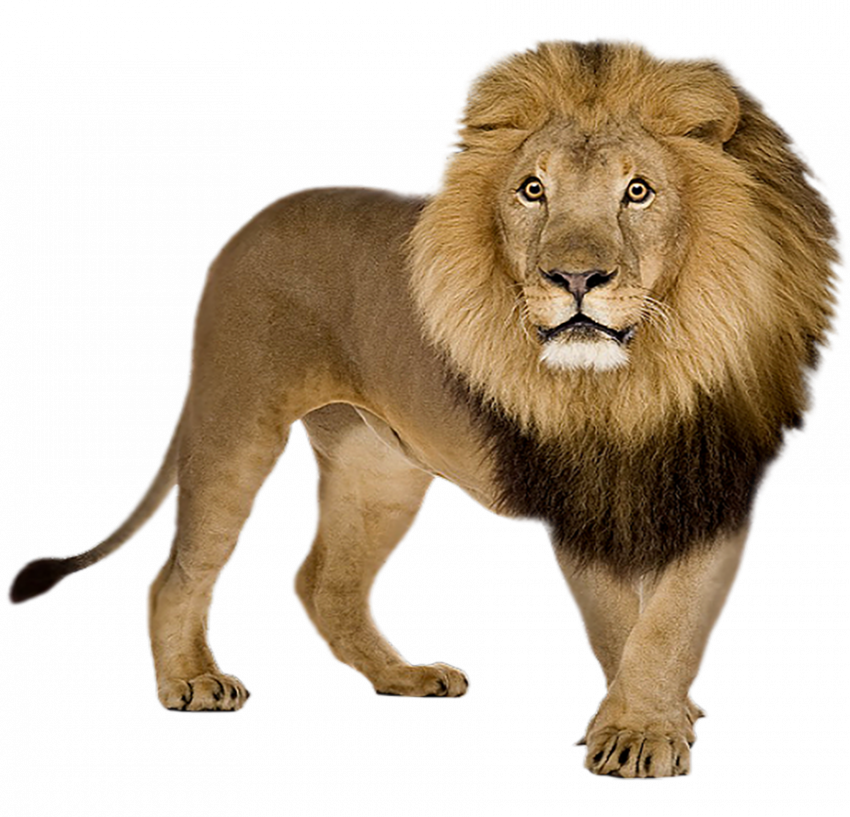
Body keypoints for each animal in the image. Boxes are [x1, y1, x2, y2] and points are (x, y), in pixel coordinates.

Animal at [6, 35, 845, 779]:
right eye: (532, 189)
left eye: (637, 190)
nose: (575, 278)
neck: (642, 377)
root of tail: (248, 226)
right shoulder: (570, 496)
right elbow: (620, 619)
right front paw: (637, 731)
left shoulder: (720, 486)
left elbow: (672, 621)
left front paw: (652, 721)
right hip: (237, 422)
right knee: (177, 573)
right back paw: (191, 681)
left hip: (380, 466)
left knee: (324, 582)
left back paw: (401, 678)